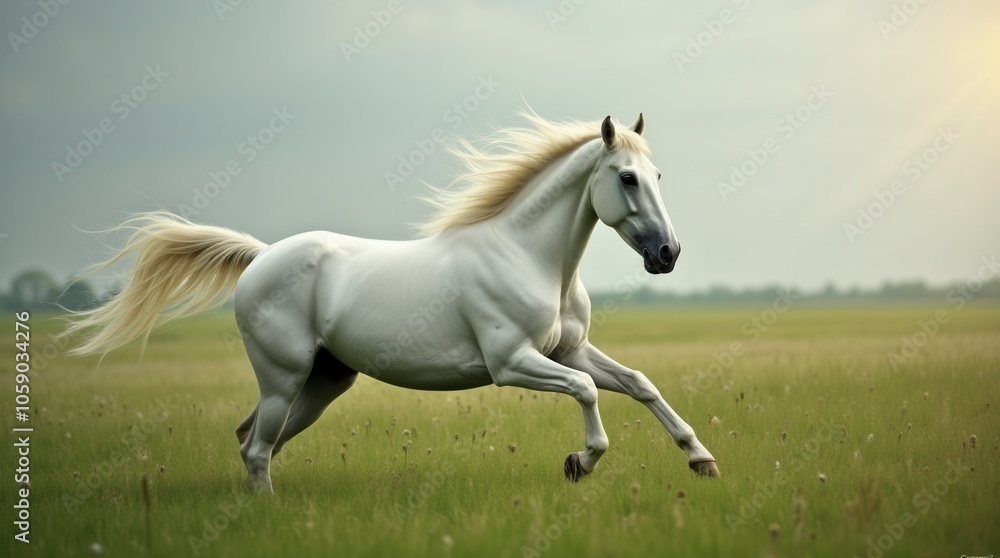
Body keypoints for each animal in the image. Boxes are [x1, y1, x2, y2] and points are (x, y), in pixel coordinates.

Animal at [65, 112, 720, 492]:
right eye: (627, 178)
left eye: (658, 176)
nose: (668, 253)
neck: (530, 259)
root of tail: (262, 258)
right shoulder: (513, 363)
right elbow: (587, 395)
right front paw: (579, 463)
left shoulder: (571, 350)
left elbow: (638, 383)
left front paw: (701, 459)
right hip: (283, 378)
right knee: (255, 448)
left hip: (323, 384)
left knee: (255, 442)